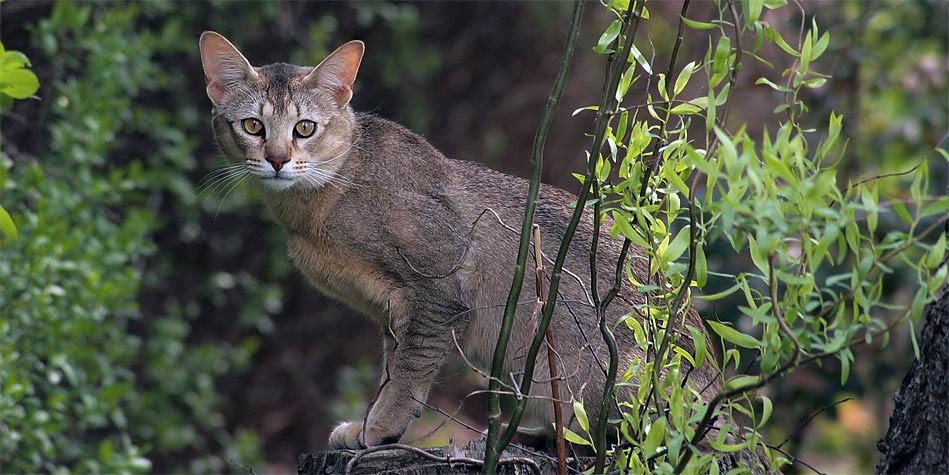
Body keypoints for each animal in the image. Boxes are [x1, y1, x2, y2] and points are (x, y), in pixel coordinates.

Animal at [200, 30, 720, 454]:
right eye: (252, 126)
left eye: (304, 127)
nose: (277, 159)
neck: (326, 197)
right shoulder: (394, 312)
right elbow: (390, 368)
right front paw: (370, 423)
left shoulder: (438, 288)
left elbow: (408, 373)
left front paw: (380, 426)